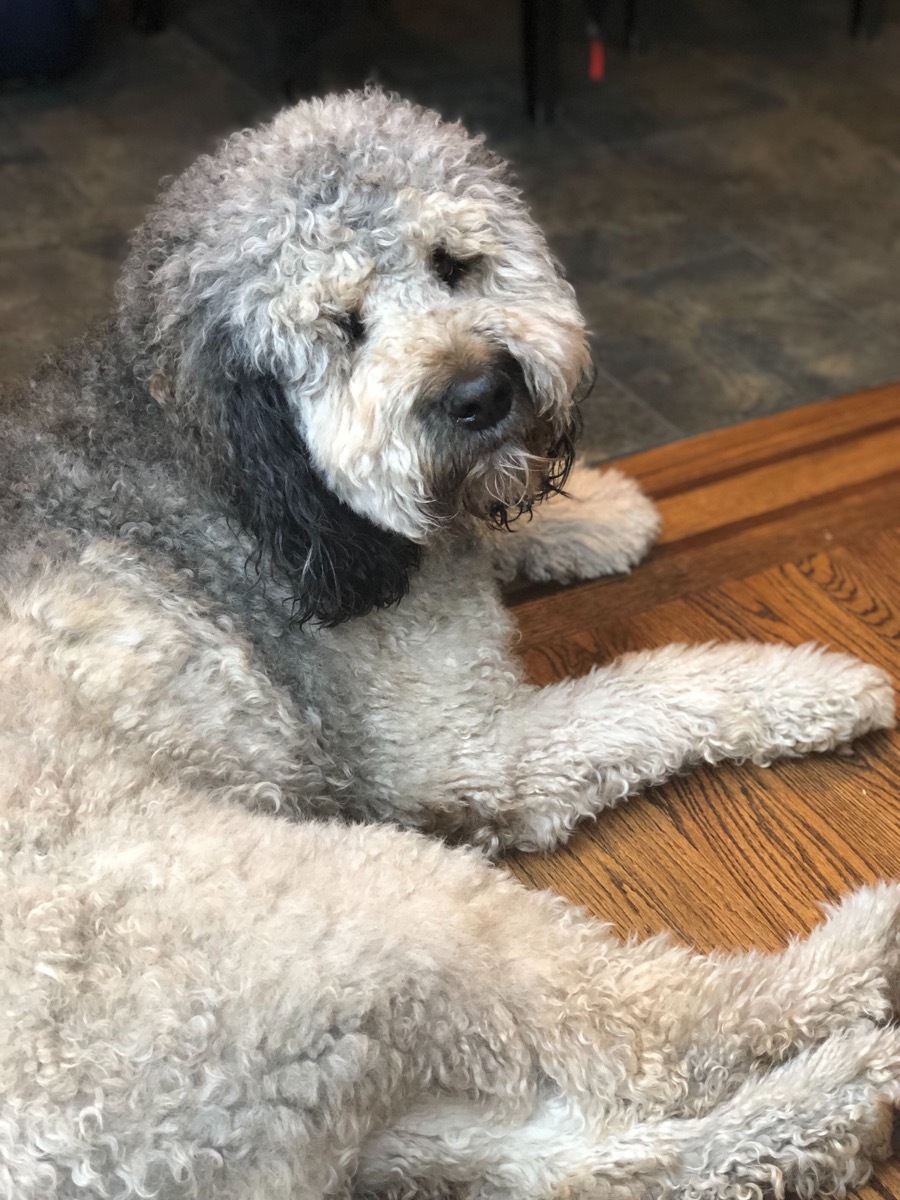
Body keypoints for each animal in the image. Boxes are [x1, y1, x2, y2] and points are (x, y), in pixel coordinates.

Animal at [1, 88, 900, 1195]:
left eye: (454, 263)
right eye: (341, 328)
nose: (481, 392)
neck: (240, 469)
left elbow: (486, 528)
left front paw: (600, 512)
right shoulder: (461, 751)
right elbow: (651, 693)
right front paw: (806, 683)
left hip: (349, 1092)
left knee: (599, 1162)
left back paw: (840, 1104)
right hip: (372, 907)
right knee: (657, 1040)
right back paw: (863, 960)